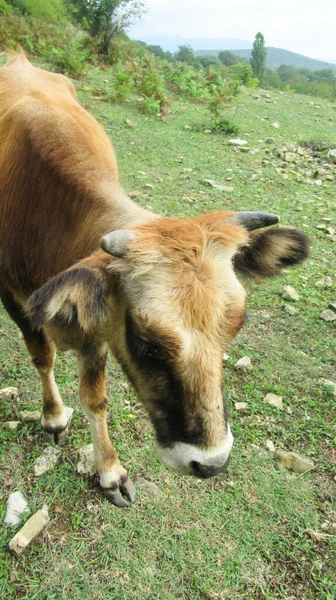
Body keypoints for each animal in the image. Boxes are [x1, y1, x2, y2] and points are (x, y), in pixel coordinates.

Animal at [0, 54, 310, 508]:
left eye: (236, 327)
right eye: (147, 343)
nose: (212, 463)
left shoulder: (95, 326)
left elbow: (95, 398)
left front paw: (109, 471)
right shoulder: (16, 298)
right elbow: (43, 357)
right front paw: (54, 419)